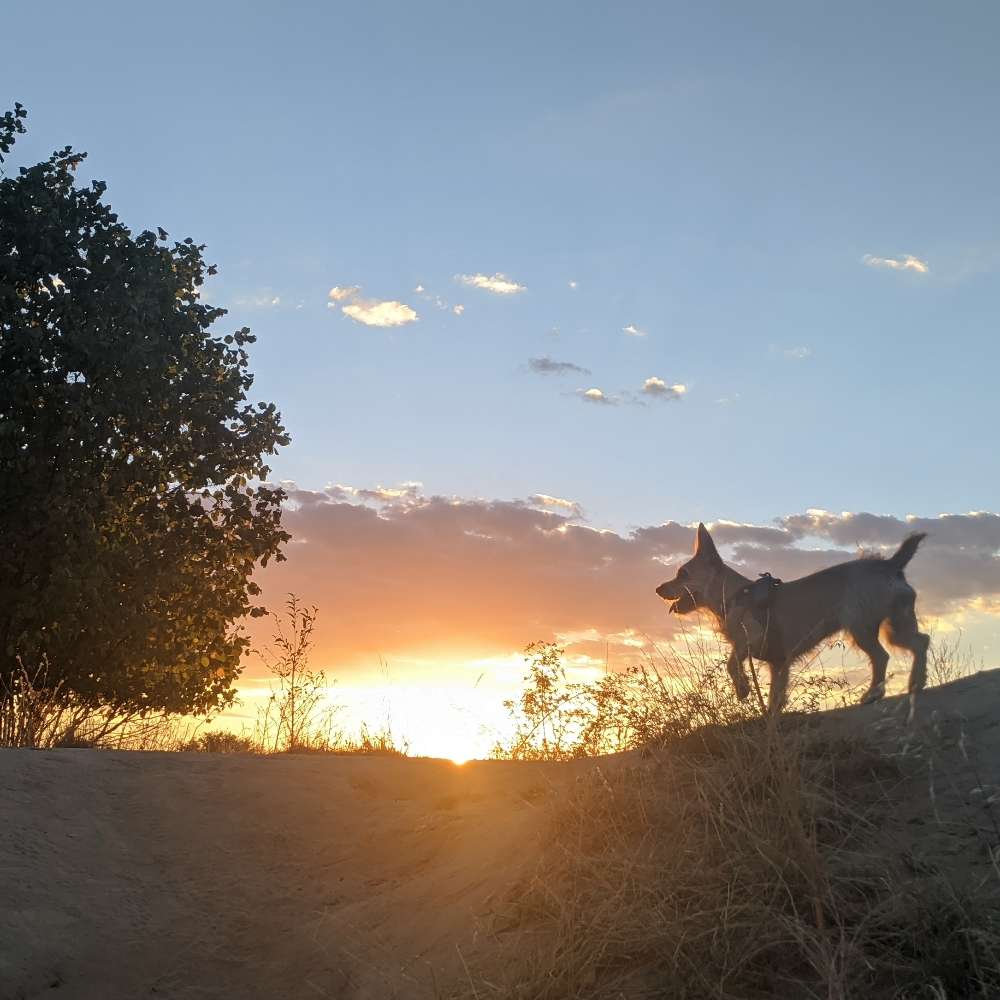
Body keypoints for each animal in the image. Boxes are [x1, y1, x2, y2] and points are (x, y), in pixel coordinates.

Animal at [656, 524, 928, 712]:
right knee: (920, 642)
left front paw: (743, 688)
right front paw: (770, 714)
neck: (736, 595)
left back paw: (874, 693)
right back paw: (917, 681)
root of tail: (890, 565)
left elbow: (732, 663)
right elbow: (775, 694)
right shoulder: (779, 663)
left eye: (682, 574)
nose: (658, 589)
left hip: (861, 626)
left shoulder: (750, 639)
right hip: (897, 625)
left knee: (881, 656)